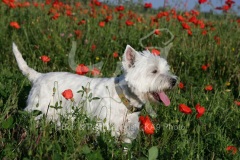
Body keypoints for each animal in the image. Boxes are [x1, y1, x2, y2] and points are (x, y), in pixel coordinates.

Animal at [12, 42, 176, 144]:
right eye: (154, 71)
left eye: (166, 69)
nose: (174, 81)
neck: (124, 99)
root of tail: (38, 76)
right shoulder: (101, 128)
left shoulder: (127, 135)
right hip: (37, 111)